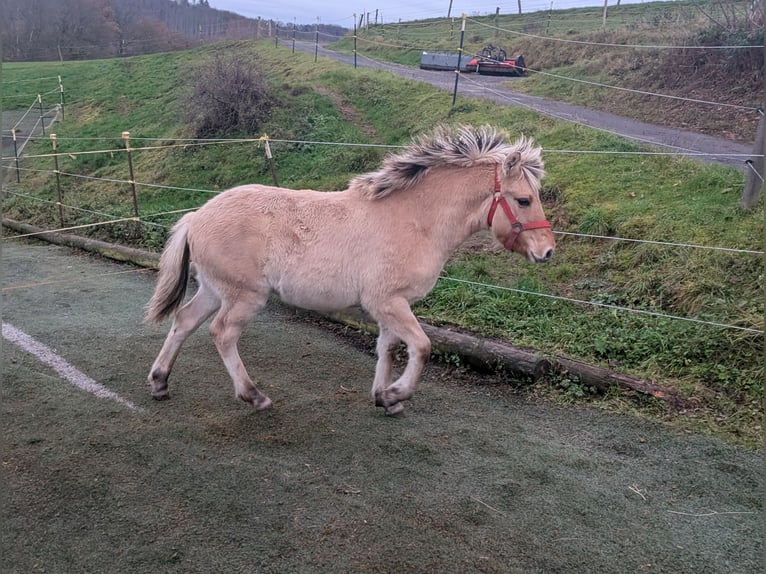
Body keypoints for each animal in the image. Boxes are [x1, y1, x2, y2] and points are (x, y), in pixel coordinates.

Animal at [145, 125, 555, 415]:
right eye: (524, 200)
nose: (547, 251)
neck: (414, 220)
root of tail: (197, 216)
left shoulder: (391, 305)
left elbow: (388, 347)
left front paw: (385, 398)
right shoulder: (387, 302)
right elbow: (421, 346)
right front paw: (398, 392)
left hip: (214, 289)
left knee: (184, 321)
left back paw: (160, 382)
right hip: (244, 295)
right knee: (222, 333)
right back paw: (254, 396)